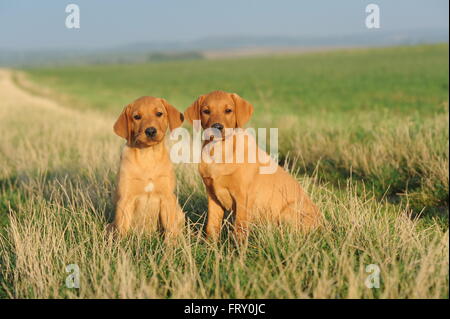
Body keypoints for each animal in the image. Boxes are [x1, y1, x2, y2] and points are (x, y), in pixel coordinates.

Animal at [111, 96, 185, 239]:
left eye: (159, 113)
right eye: (136, 117)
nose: (150, 131)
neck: (148, 155)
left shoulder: (167, 198)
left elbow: (170, 229)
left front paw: (171, 245)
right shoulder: (125, 199)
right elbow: (122, 229)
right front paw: (121, 244)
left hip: (177, 208)